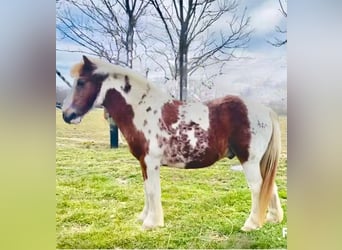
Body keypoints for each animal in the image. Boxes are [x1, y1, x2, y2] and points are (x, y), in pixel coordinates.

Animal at [61, 55, 284, 231]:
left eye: (81, 82)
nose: (66, 114)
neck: (143, 111)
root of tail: (265, 110)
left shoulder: (150, 162)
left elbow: (152, 190)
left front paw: (151, 223)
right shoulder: (144, 163)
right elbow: (146, 189)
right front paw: (144, 217)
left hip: (249, 160)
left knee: (257, 187)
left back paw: (252, 224)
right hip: (259, 161)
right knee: (269, 186)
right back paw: (272, 218)